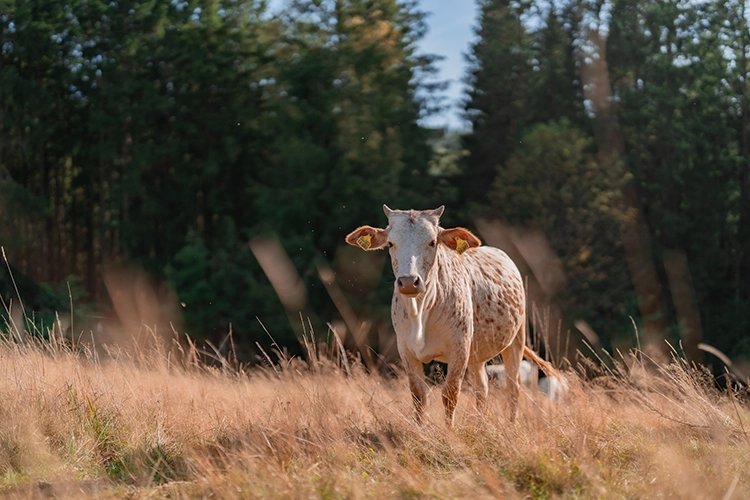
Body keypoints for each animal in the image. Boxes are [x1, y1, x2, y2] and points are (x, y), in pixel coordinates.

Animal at [346, 206, 560, 426]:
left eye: (432, 242)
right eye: (390, 243)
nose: (408, 281)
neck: (420, 312)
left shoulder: (459, 348)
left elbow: (450, 394)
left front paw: (450, 431)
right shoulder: (405, 349)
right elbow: (418, 394)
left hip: (516, 339)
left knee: (513, 386)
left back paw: (511, 424)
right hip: (477, 353)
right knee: (481, 388)